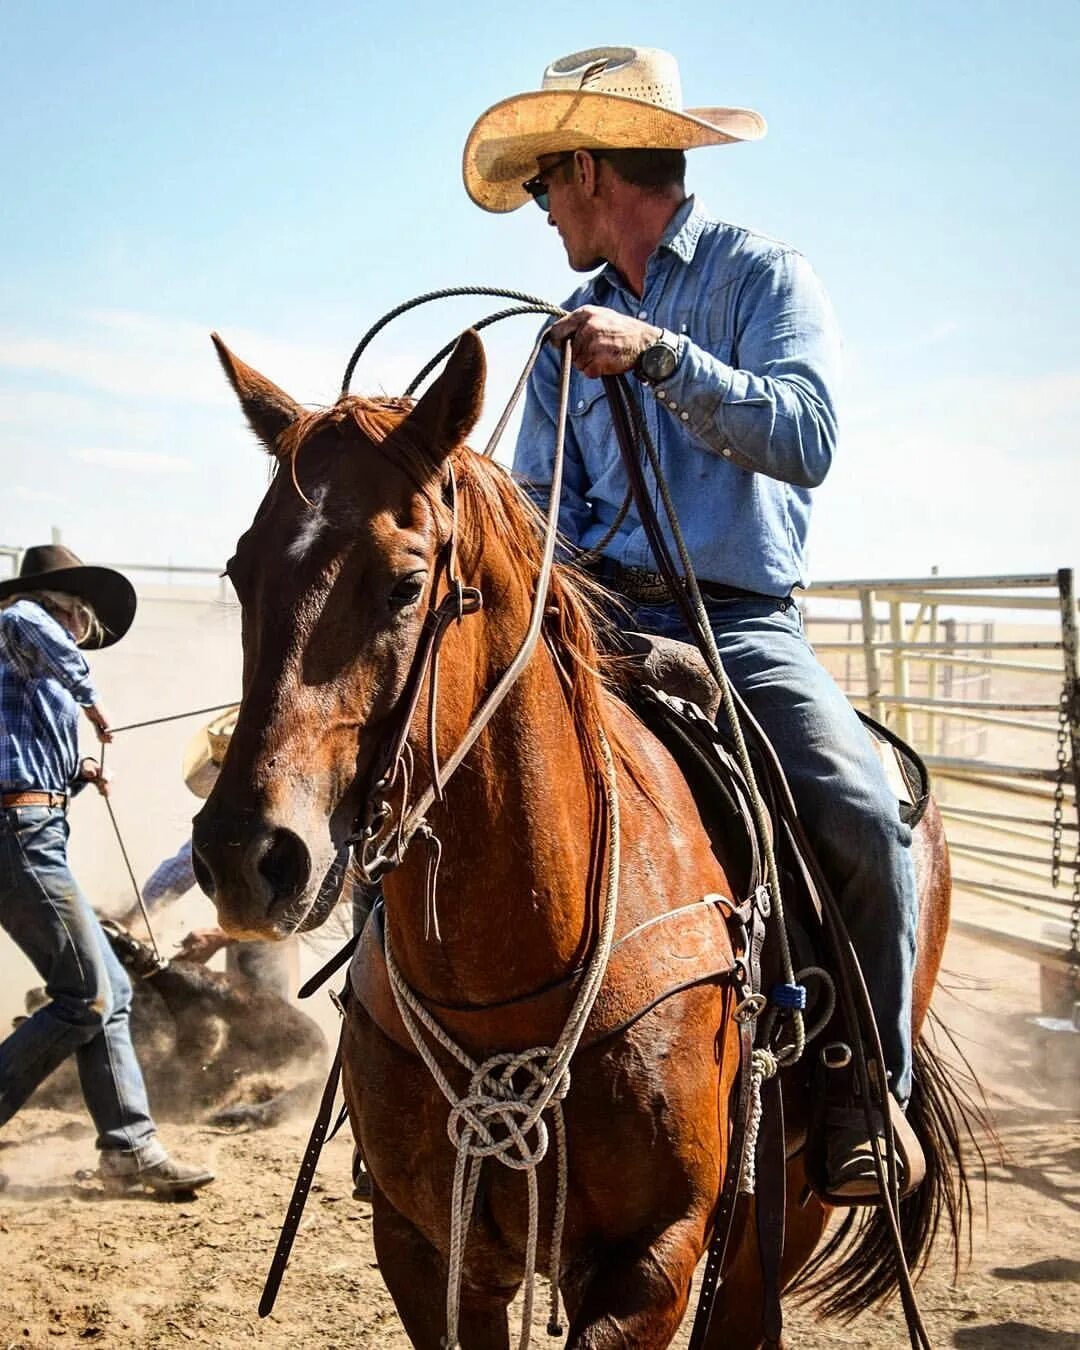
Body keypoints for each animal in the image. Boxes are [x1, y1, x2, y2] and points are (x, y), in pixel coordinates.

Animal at [195, 329, 972, 1350]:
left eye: (408, 583)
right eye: (241, 572)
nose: (246, 856)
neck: (514, 972)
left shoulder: (655, 1255)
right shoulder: (423, 1247)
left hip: (788, 1199)